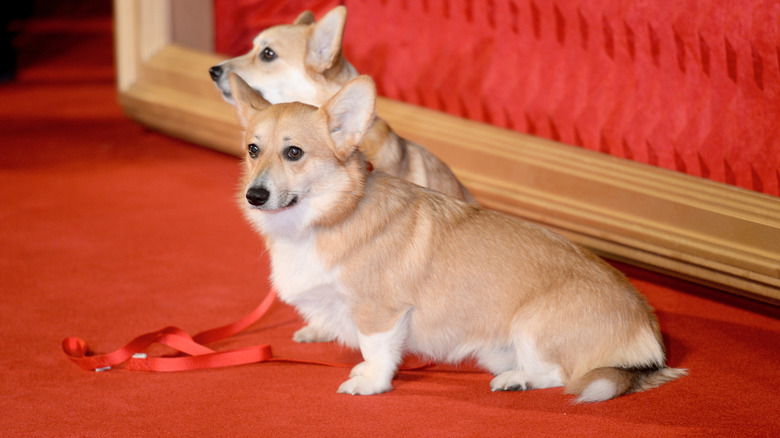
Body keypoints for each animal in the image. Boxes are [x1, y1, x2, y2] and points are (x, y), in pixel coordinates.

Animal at [229, 72, 684, 404]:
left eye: (294, 153)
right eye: (253, 149)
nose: (255, 196)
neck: (331, 216)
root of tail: (649, 331)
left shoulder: (381, 312)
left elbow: (376, 351)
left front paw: (370, 383)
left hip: (532, 326)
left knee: (560, 374)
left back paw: (516, 379)